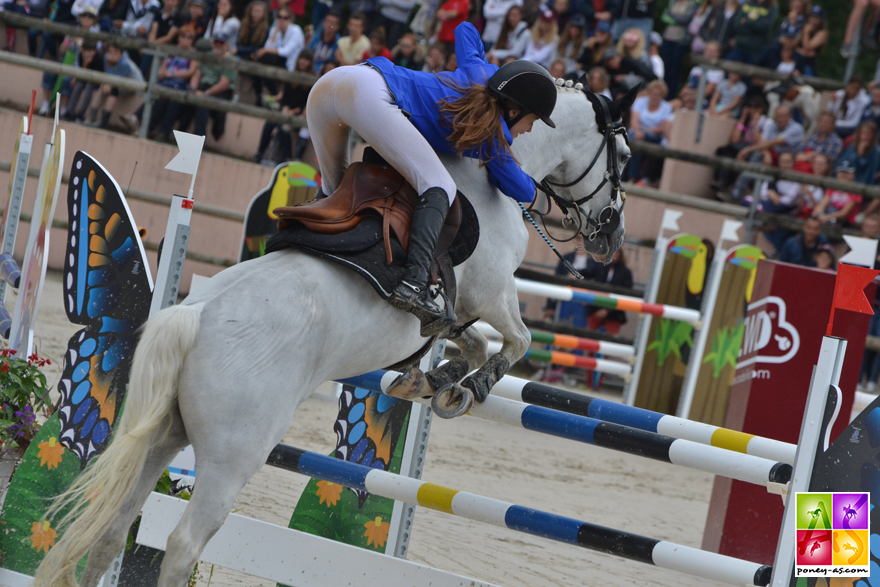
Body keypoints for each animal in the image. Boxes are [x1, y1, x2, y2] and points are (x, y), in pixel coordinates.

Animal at [34, 82, 636, 587]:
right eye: (626, 158)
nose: (611, 237)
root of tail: (196, 315)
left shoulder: (463, 311)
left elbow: (467, 341)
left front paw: (428, 380)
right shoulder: (490, 294)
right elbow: (514, 341)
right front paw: (467, 388)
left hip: (164, 432)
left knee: (113, 526)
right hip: (235, 453)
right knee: (183, 542)